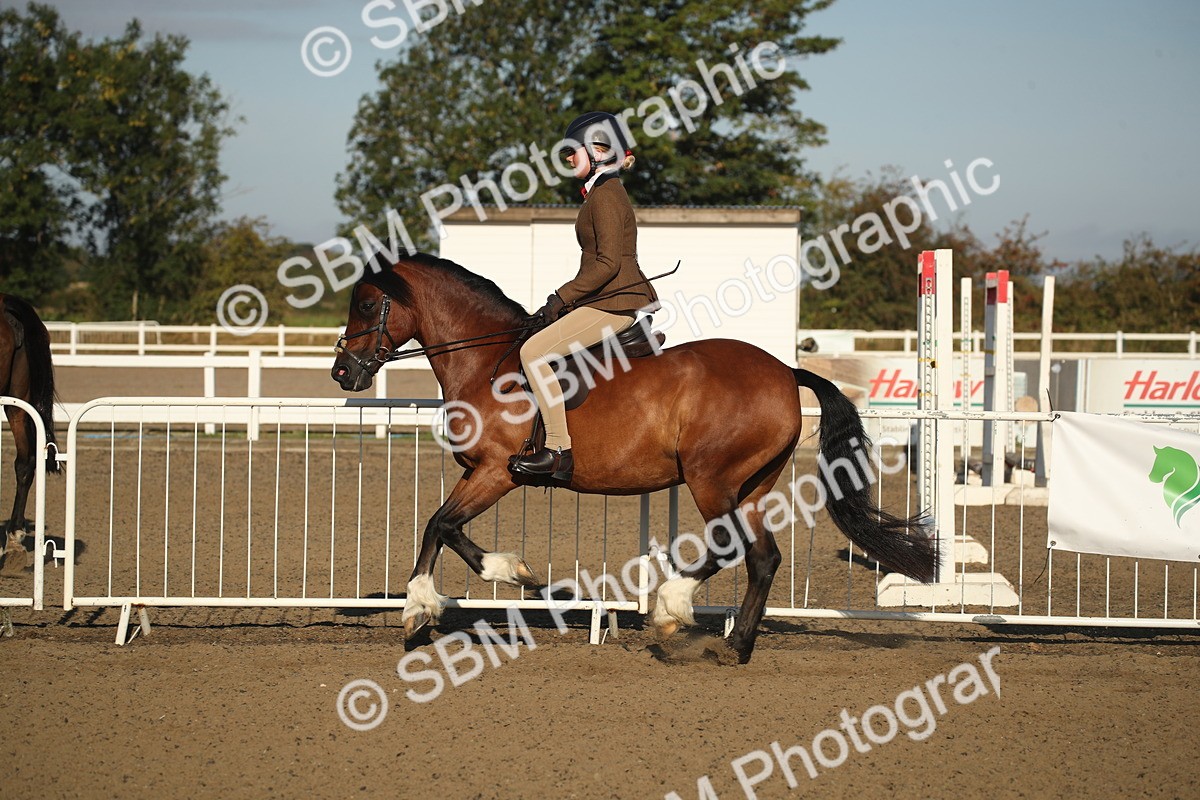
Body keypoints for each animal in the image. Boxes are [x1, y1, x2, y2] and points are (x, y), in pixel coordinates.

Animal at [331, 253, 936, 663]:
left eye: (367, 304)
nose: (342, 372)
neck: (487, 361)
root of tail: (785, 371)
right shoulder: (479, 474)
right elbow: (443, 528)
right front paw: (459, 596)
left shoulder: (497, 472)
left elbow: (440, 525)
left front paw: (443, 600)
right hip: (751, 487)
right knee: (763, 557)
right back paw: (736, 646)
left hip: (710, 479)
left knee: (732, 547)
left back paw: (670, 610)